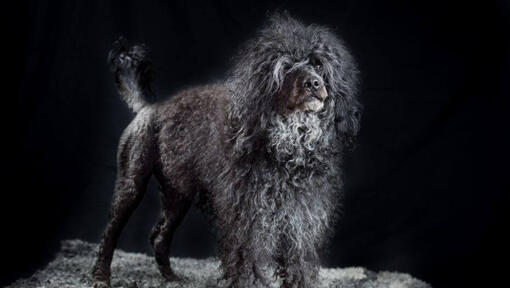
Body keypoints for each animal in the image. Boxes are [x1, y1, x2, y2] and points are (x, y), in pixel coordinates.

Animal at [92, 12, 362, 288]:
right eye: (286, 67)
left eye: (318, 64)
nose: (314, 83)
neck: (288, 146)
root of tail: (147, 108)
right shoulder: (247, 216)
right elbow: (247, 261)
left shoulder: (301, 218)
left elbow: (299, 261)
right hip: (131, 184)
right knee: (110, 232)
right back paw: (101, 276)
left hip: (177, 193)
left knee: (159, 235)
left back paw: (171, 277)